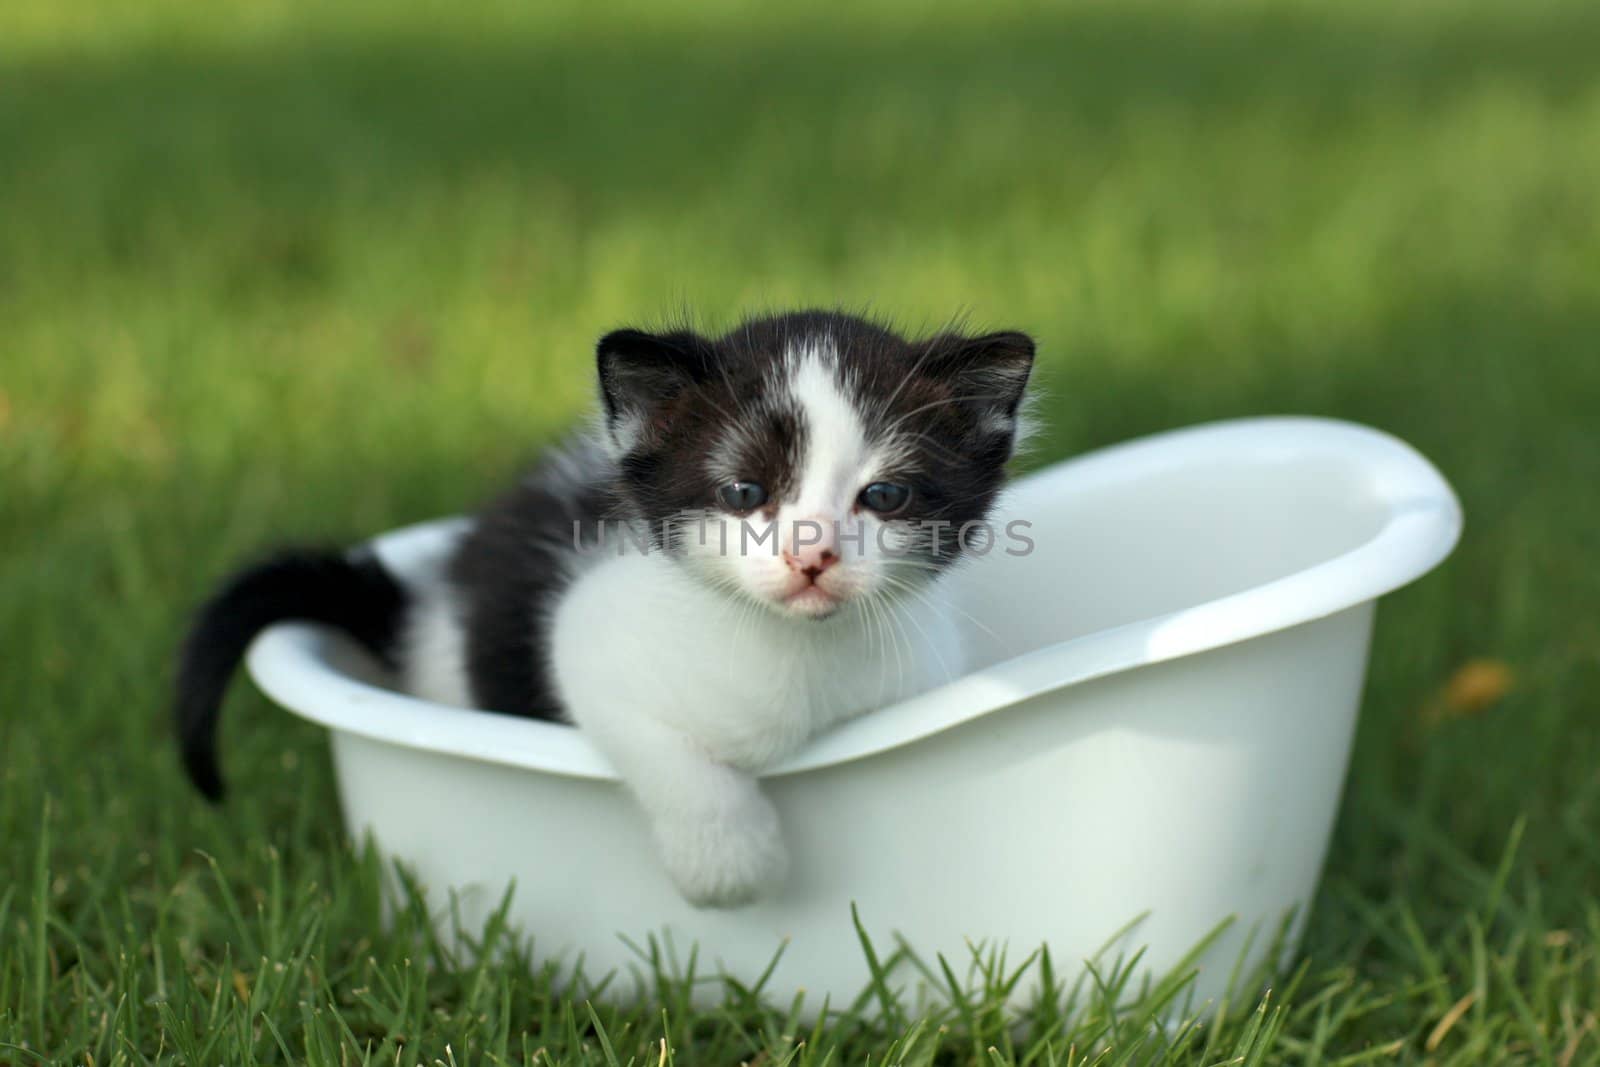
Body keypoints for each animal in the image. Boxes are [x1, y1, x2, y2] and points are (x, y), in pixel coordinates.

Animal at [178, 310, 1036, 908]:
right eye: (745, 492)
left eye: (883, 496)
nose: (812, 554)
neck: (800, 654)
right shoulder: (591, 631)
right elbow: (664, 749)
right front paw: (730, 865)